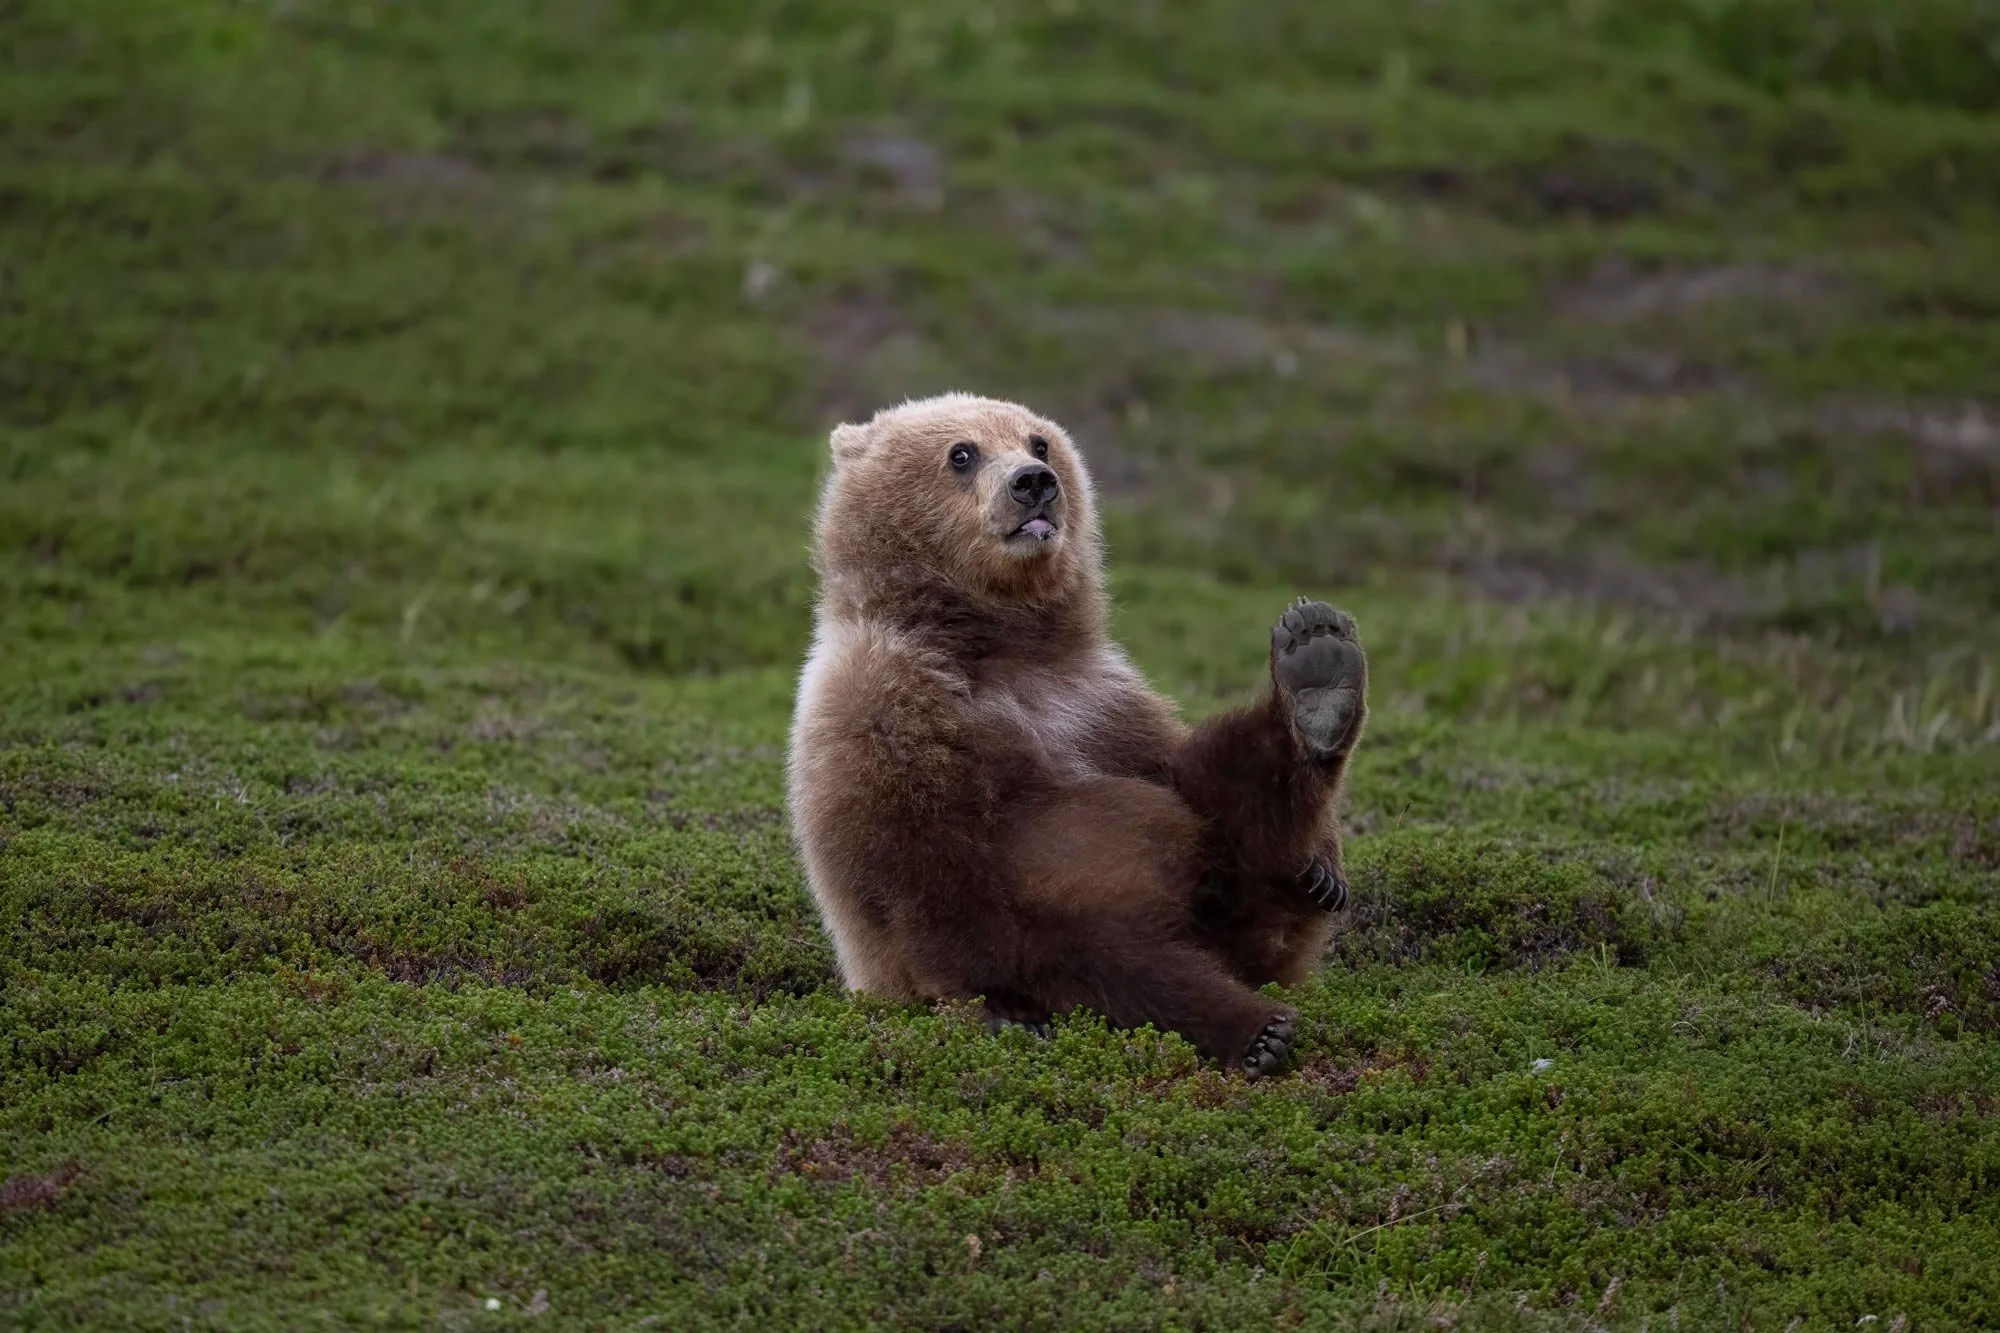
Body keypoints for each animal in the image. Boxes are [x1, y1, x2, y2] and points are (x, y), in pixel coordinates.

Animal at [786, 393, 1367, 1077]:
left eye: (1039, 442)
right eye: (962, 452)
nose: (1034, 482)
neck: (997, 644)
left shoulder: (1097, 699)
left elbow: (1179, 773)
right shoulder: (886, 710)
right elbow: (929, 873)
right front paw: (1004, 1012)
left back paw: (1317, 685)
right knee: (1117, 962)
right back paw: (1254, 1029)